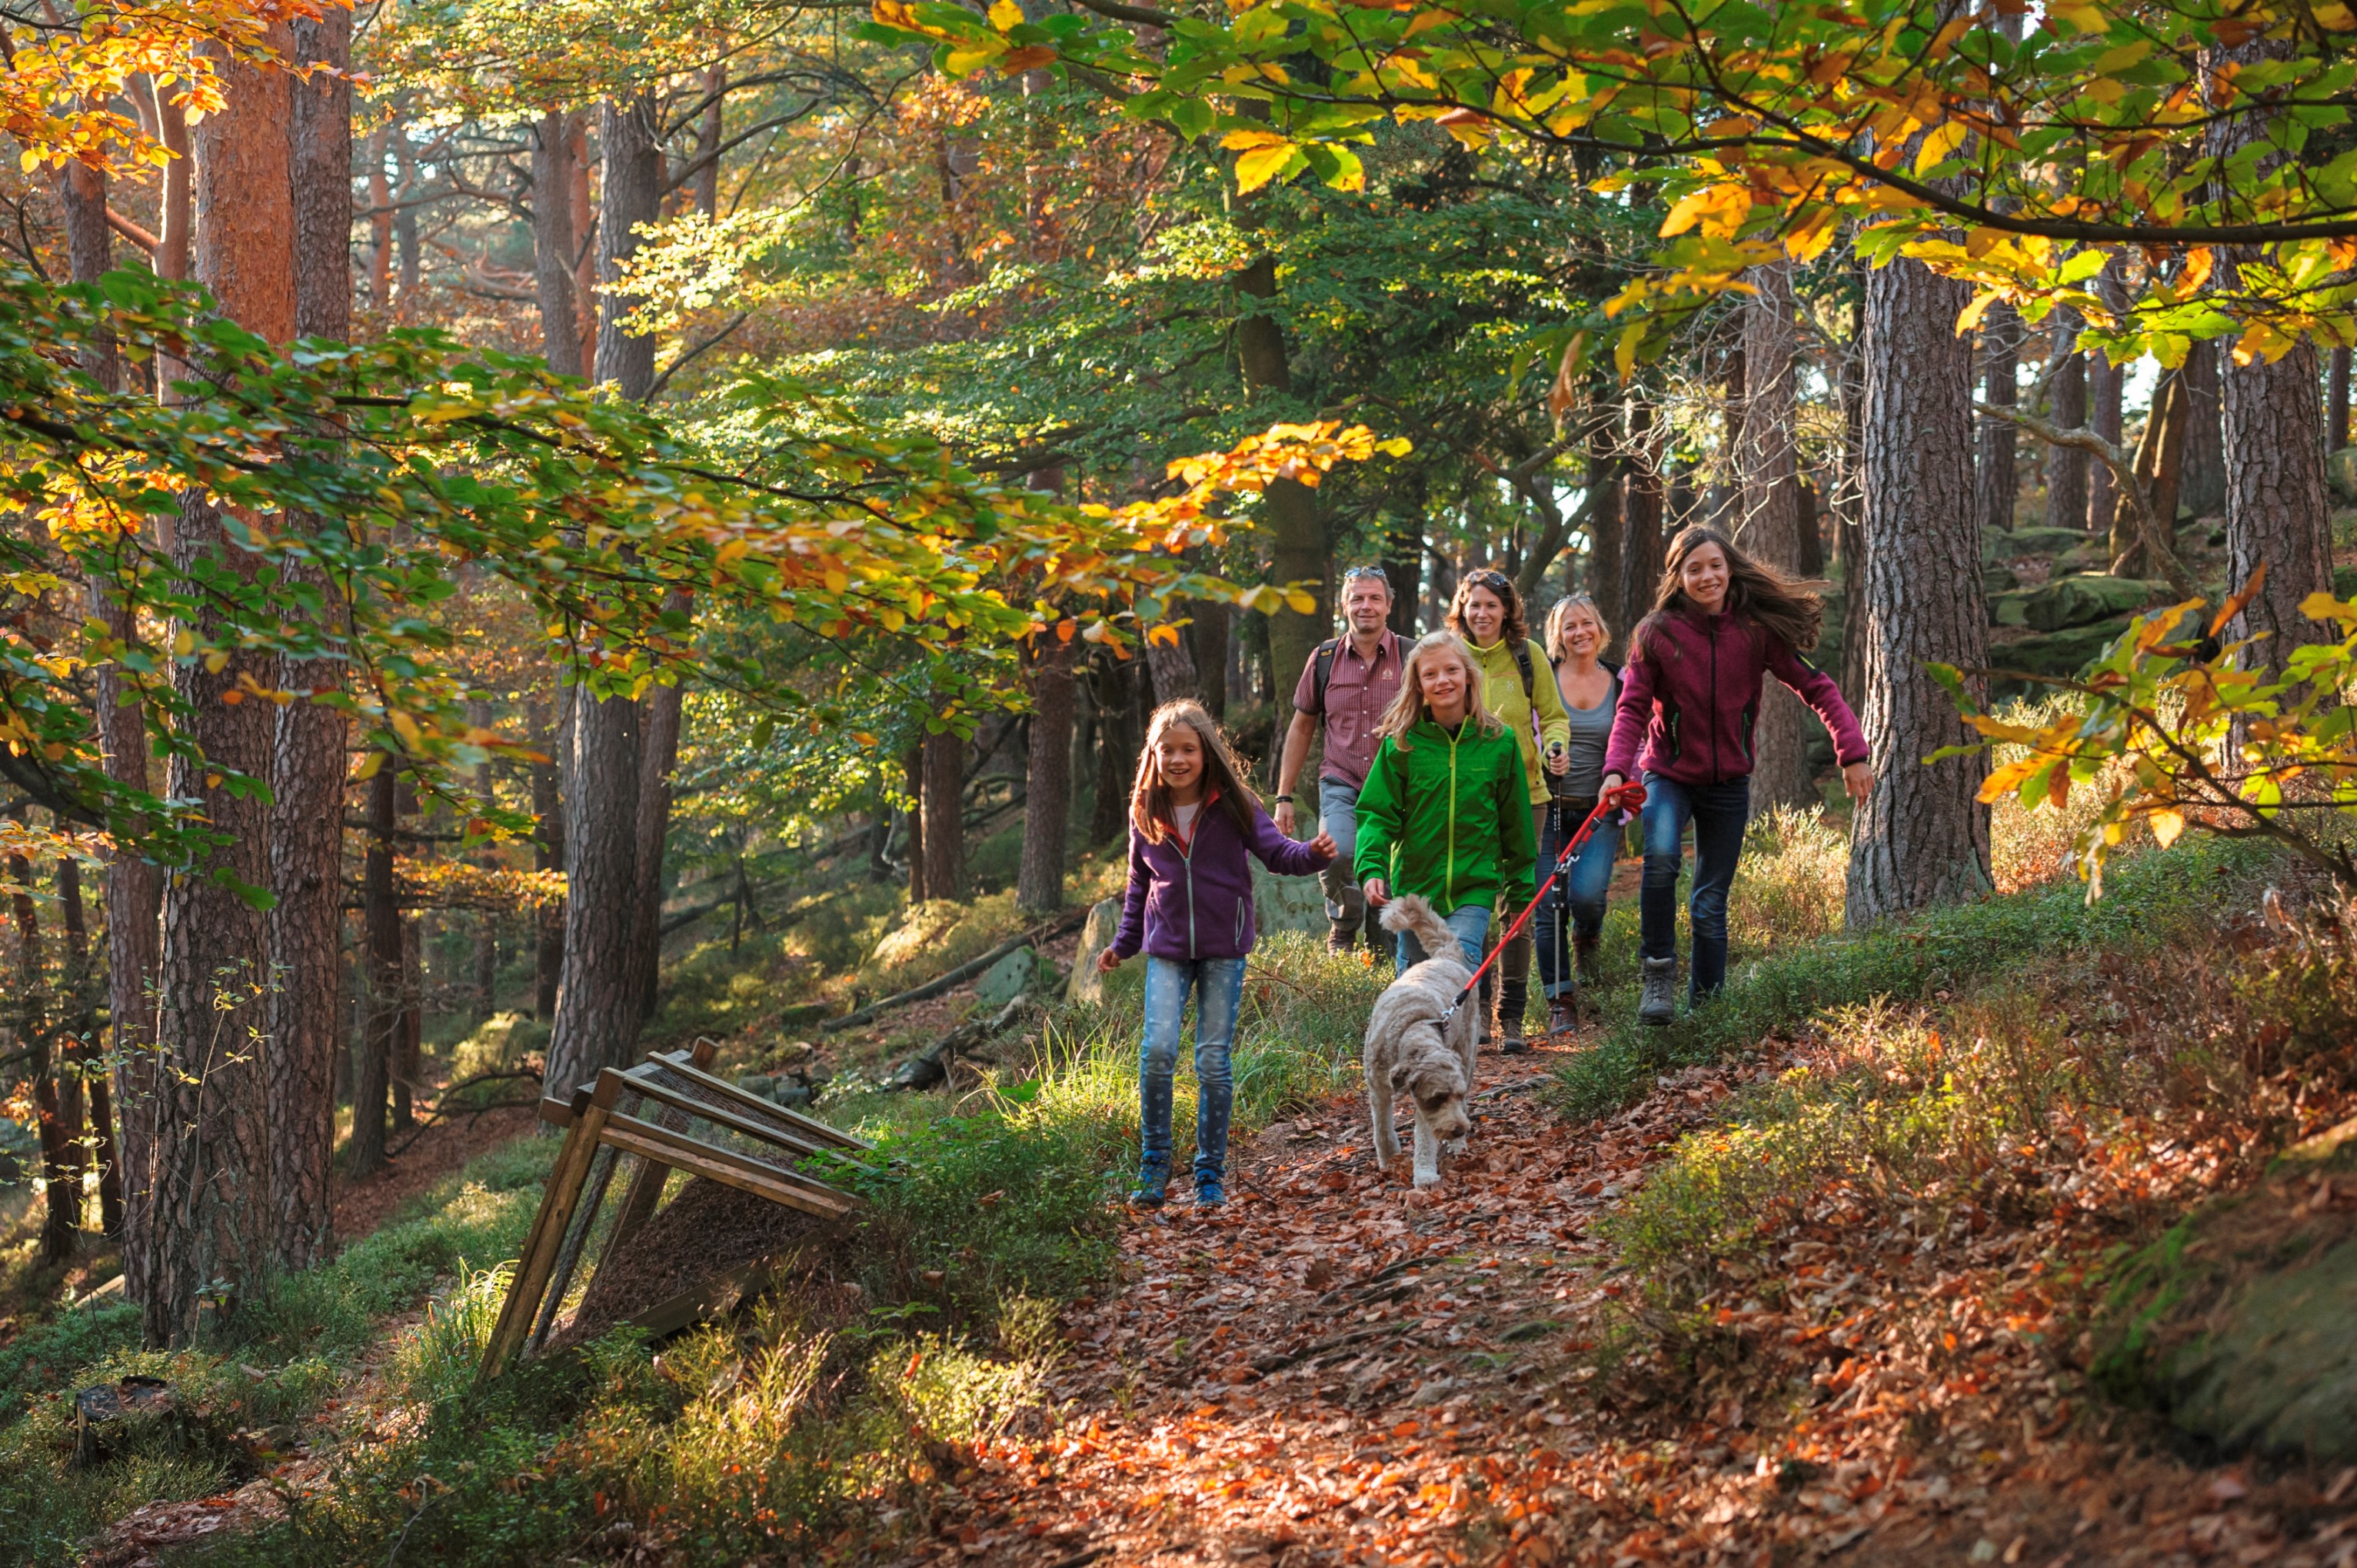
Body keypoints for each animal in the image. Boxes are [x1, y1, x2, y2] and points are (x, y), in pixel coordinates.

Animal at [1367, 891, 1470, 1188]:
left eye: (1457, 1094)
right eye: (1440, 1097)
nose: (1461, 1130)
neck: (1411, 1027)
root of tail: (1445, 956)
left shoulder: (1422, 1102)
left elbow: (1425, 1139)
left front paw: (1424, 1174)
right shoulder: (1378, 1090)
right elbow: (1382, 1131)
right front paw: (1389, 1161)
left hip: (1467, 1052)